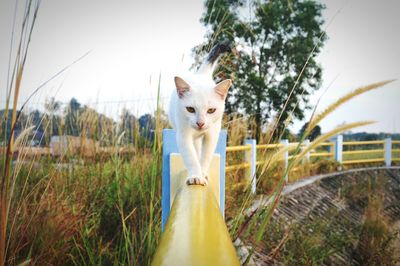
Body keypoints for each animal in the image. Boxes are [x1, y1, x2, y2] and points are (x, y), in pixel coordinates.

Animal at [168, 43, 231, 185]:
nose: (200, 123)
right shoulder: (183, 136)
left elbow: (206, 156)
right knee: (195, 150)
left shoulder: (212, 135)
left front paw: (202, 173)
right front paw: (196, 176)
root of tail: (200, 75)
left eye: (211, 110)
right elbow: (191, 157)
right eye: (190, 109)